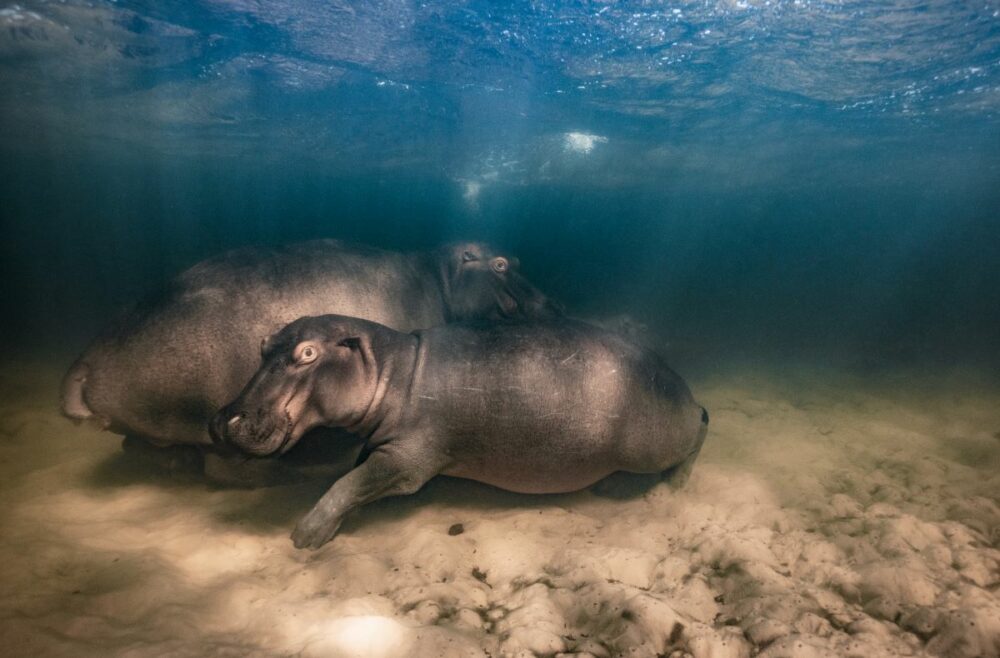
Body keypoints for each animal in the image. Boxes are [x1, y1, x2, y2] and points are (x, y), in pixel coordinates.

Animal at [214, 312, 708, 548]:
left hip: (654, 444)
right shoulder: (381, 444)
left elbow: (349, 483)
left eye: (308, 353)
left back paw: (669, 486)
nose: (223, 419)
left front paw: (305, 535)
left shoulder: (408, 460)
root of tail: (682, 386)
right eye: (263, 344)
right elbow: (353, 473)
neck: (393, 370)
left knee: (699, 430)